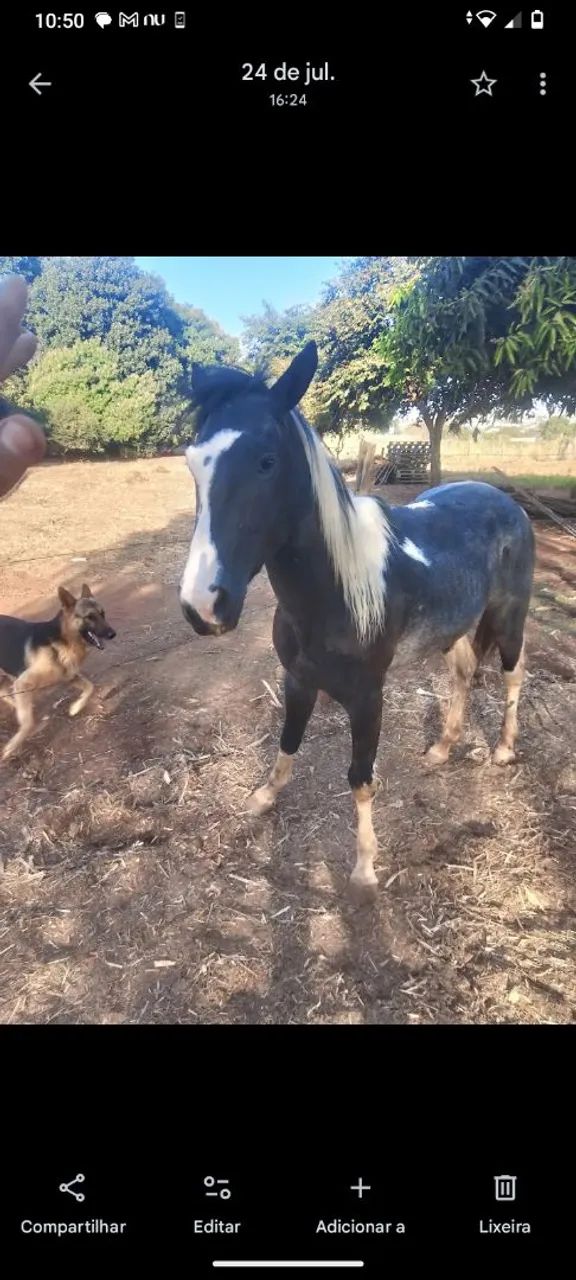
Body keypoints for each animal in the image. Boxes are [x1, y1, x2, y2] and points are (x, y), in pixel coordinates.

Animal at [179, 342, 535, 902]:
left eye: (266, 462)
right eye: (193, 464)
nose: (203, 607)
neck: (336, 591)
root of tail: (507, 502)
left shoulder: (369, 698)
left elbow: (361, 777)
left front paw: (365, 868)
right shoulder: (298, 679)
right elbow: (288, 742)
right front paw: (263, 797)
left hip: (509, 617)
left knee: (513, 672)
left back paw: (502, 749)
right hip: (454, 627)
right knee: (463, 672)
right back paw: (441, 749)